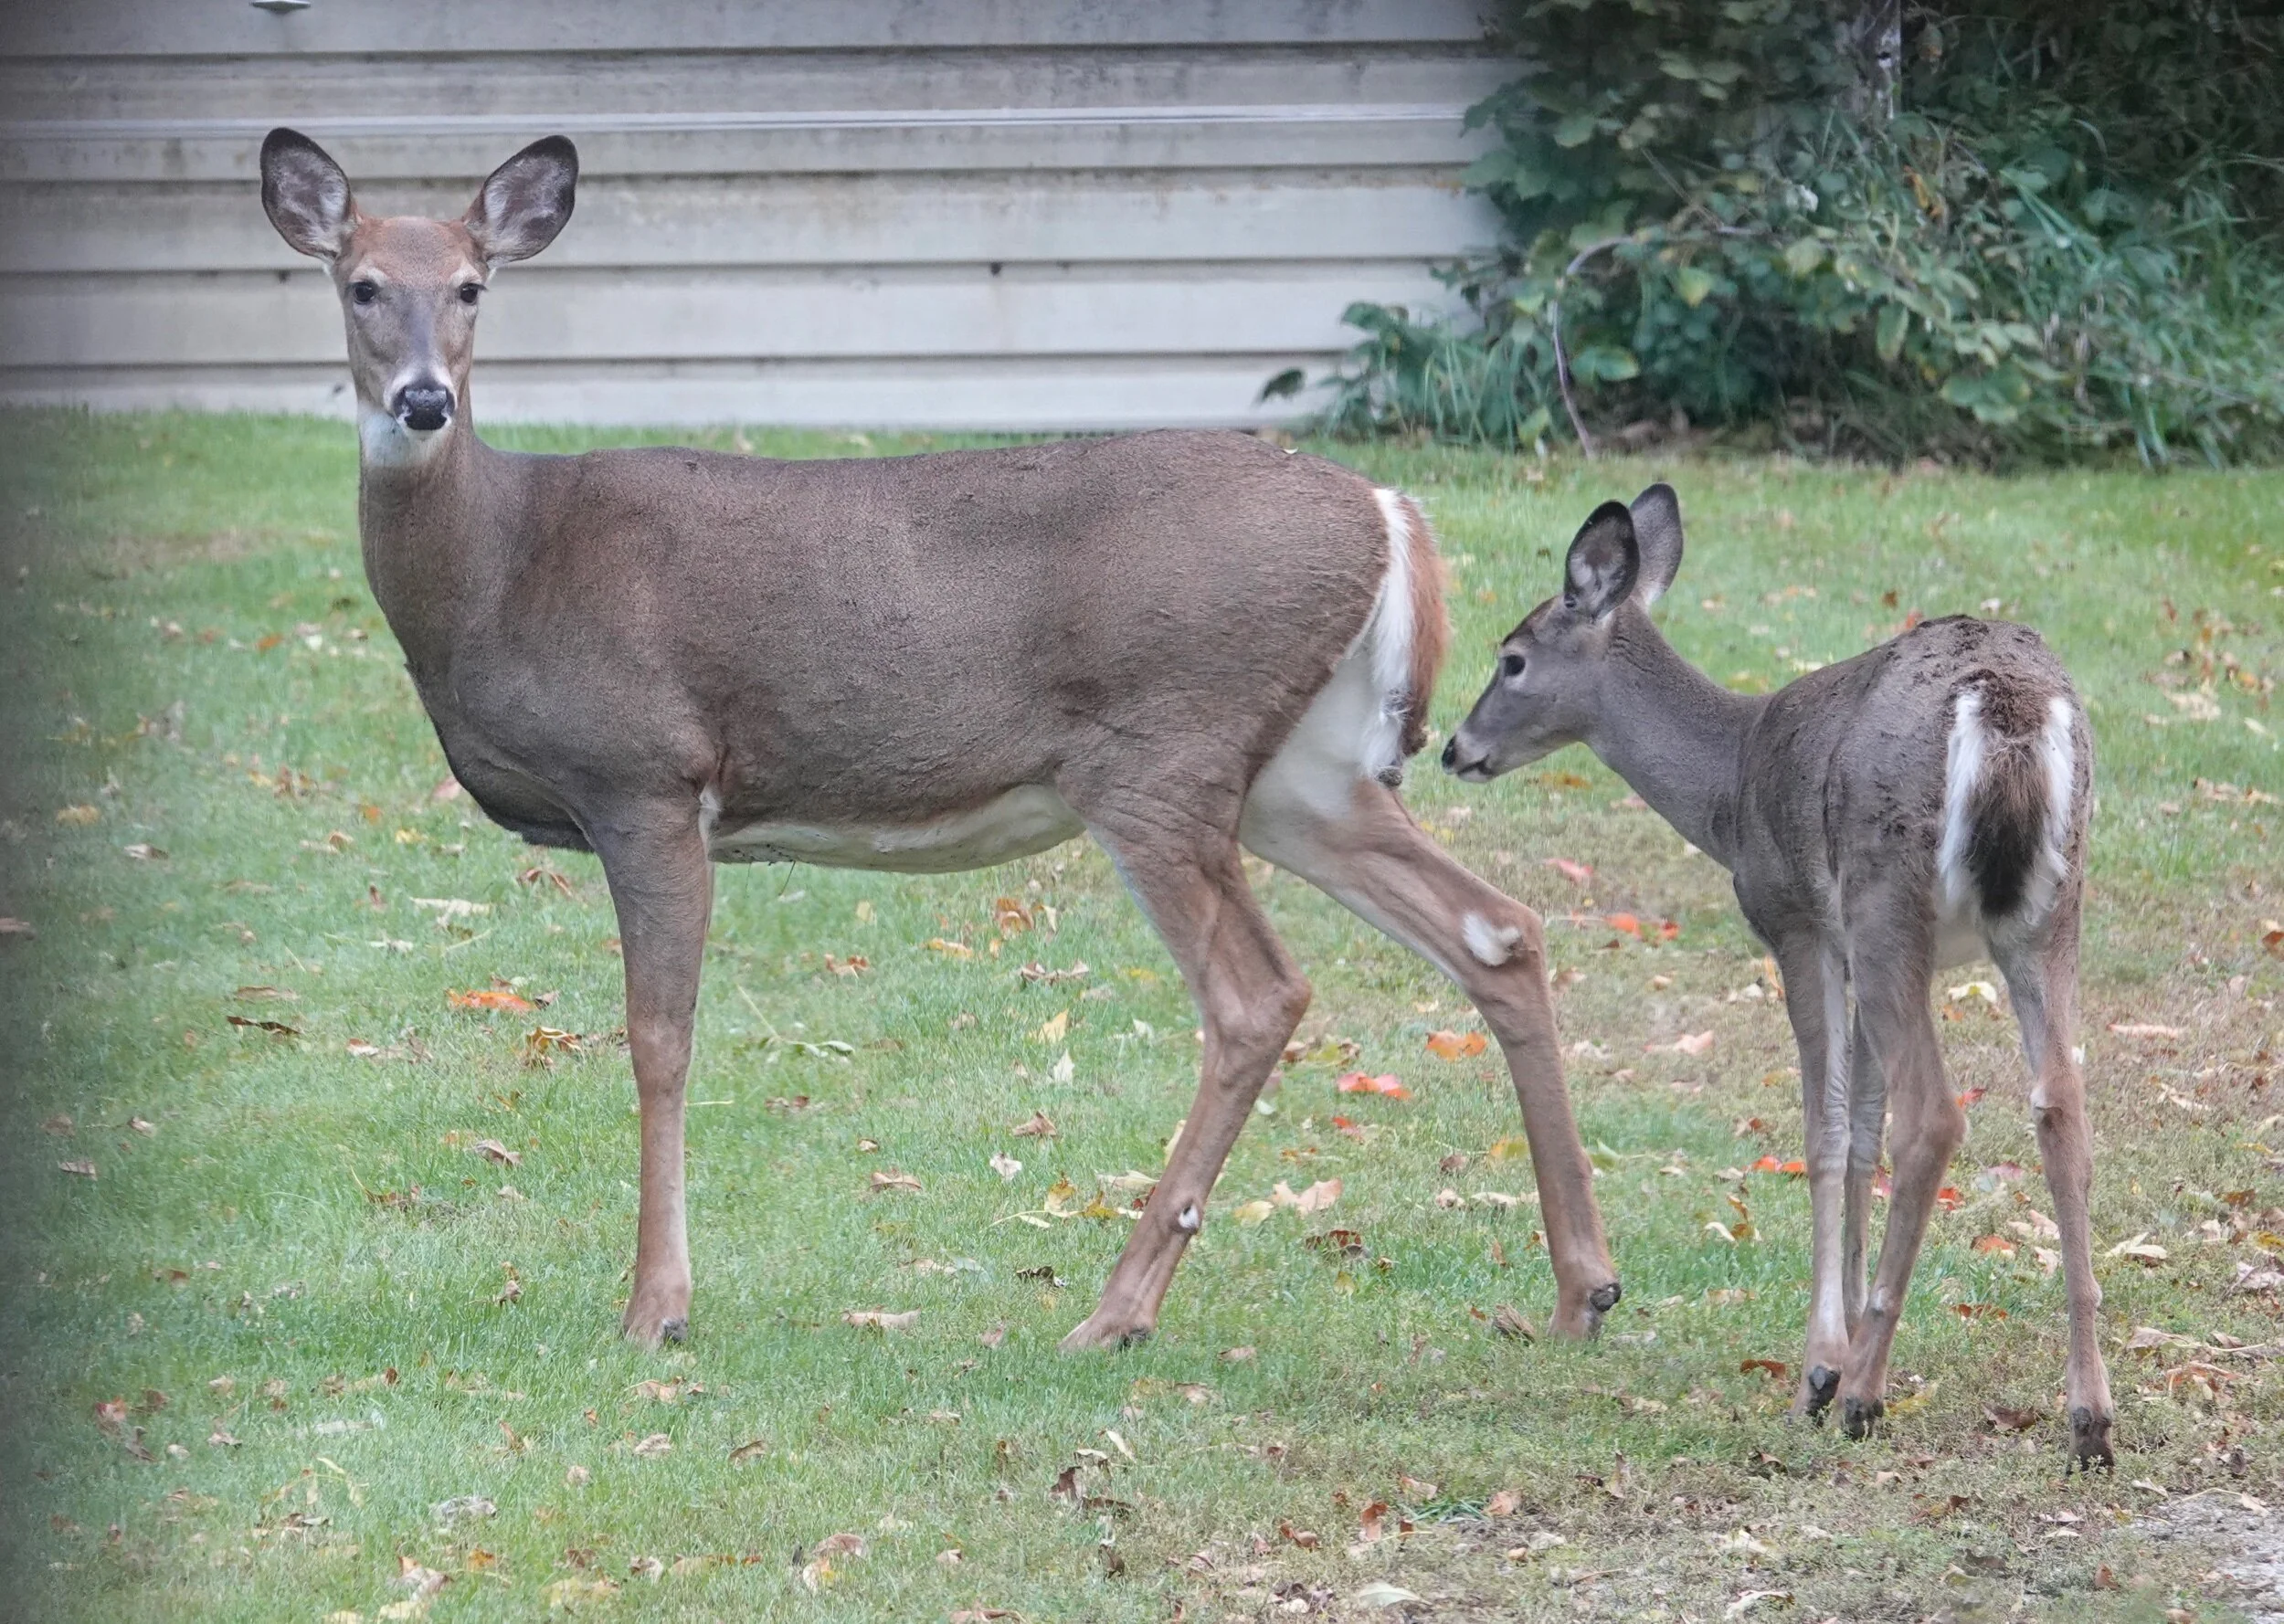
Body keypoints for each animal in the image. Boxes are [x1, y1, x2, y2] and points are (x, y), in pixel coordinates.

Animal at [256, 127, 1625, 1354]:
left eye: (473, 285)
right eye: (361, 283)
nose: (423, 400)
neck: (500, 567)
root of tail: (1390, 512)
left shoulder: (647, 774)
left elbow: (659, 1040)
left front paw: (654, 1309)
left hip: (1160, 746)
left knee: (1259, 993)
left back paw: (1113, 1313)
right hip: (1302, 767)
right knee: (1497, 928)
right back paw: (1582, 1289)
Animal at [1441, 485, 2114, 1467]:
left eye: (1513, 658)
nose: (1453, 747)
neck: (1730, 785)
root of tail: (2009, 710)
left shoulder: (1798, 921)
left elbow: (1827, 1129)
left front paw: (1821, 1369)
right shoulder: (1843, 944)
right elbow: (1860, 1131)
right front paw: (1844, 1342)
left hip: (1885, 894)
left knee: (1935, 1113)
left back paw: (1865, 1396)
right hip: (2048, 914)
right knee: (2062, 1104)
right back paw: (2089, 1418)